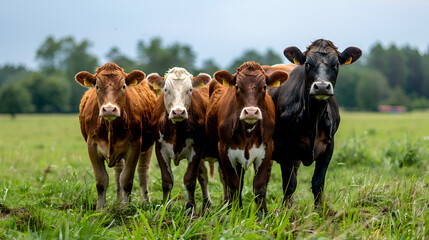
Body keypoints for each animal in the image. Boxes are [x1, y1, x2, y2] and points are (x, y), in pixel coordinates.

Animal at [74, 62, 156, 209]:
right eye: (97, 86)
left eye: (123, 86)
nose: (109, 109)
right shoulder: (92, 146)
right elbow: (102, 180)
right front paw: (100, 208)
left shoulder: (135, 146)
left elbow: (127, 179)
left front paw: (125, 207)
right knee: (118, 172)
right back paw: (118, 200)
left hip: (148, 146)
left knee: (143, 172)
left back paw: (146, 202)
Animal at [146, 67, 213, 212]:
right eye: (166, 89)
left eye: (190, 90)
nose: (178, 112)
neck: (176, 130)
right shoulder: (160, 149)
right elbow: (167, 180)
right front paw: (165, 207)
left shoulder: (197, 148)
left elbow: (190, 180)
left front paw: (190, 208)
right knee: (203, 175)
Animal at [206, 61, 290, 213]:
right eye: (237, 86)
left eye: (264, 87)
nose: (251, 111)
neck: (248, 131)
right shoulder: (224, 149)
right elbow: (233, 185)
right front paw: (233, 213)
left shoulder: (267, 148)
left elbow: (259, 186)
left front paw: (262, 214)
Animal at [268, 39, 362, 206]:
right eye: (307, 64)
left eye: (336, 64)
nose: (322, 87)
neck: (313, 117)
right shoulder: (285, 148)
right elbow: (289, 184)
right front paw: (285, 212)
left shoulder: (328, 147)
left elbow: (318, 184)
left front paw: (319, 211)